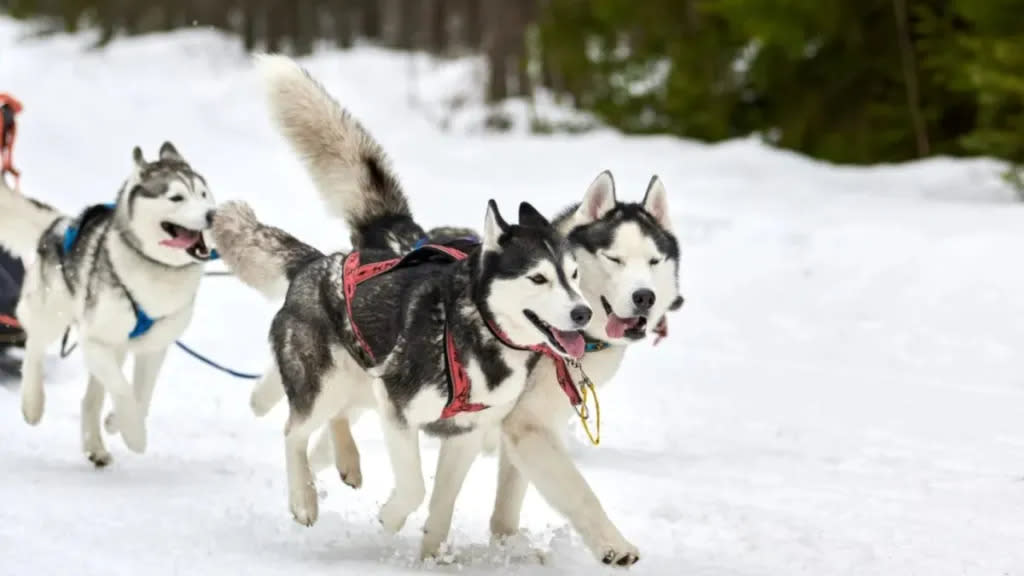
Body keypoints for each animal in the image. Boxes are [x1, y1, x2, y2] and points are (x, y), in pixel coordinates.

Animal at [0, 143, 216, 461]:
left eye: (203, 194)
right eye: (176, 197)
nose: (213, 214)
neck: (157, 270)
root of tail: (61, 224)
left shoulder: (154, 348)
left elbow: (142, 394)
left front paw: (116, 422)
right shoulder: (96, 341)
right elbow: (124, 390)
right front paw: (134, 434)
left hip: (115, 348)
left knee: (90, 398)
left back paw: (95, 446)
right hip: (52, 314)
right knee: (34, 346)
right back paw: (32, 403)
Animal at [242, 53, 679, 561]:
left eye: (654, 261)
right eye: (614, 259)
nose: (644, 297)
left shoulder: (492, 429)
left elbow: (464, 502)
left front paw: (472, 550)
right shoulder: (516, 425)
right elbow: (572, 491)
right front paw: (611, 544)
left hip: (362, 378)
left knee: (332, 421)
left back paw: (342, 460)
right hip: (337, 377)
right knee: (300, 425)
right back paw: (302, 483)